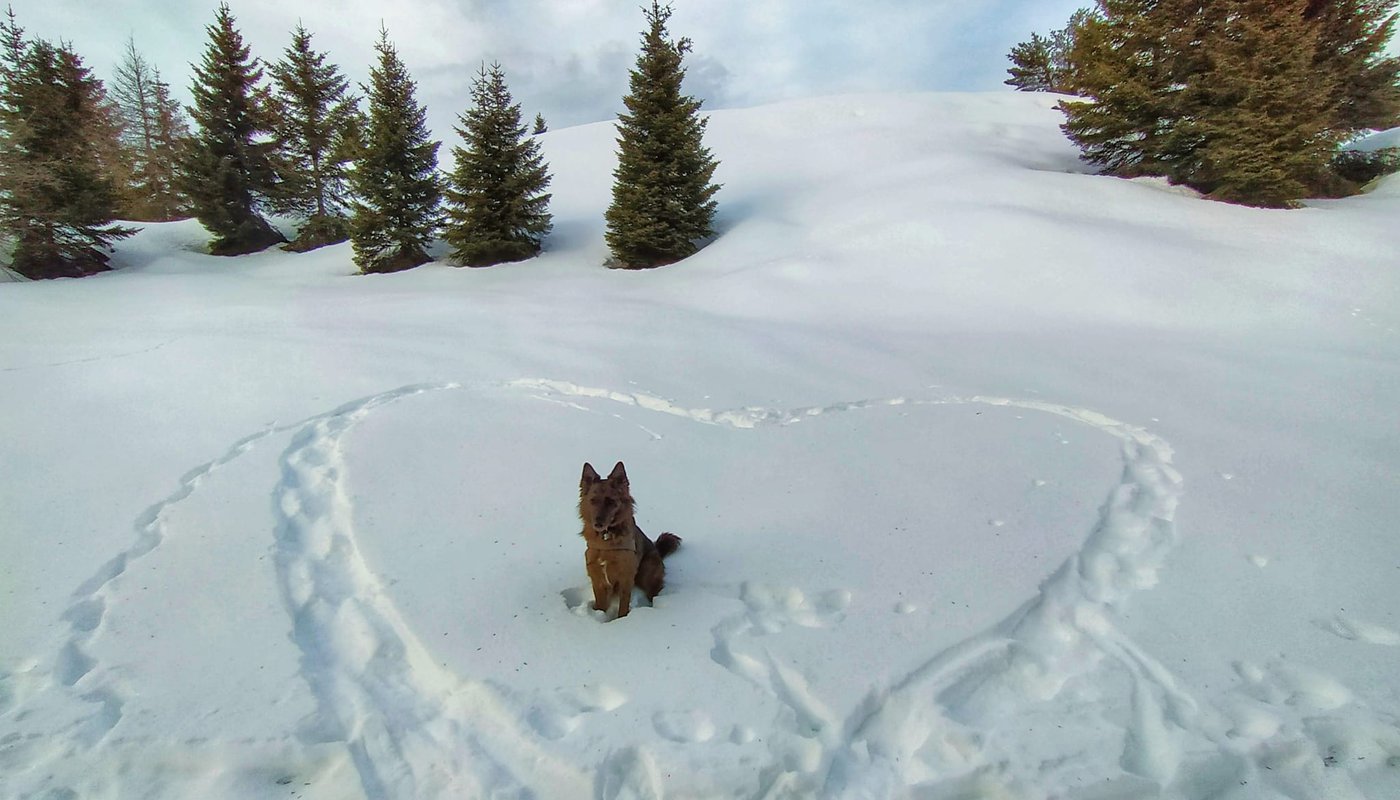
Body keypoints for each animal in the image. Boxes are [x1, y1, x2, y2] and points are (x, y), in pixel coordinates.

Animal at [576, 459, 680, 616]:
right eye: (593, 500)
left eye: (611, 501)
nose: (598, 523)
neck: (606, 541)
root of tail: (657, 550)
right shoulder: (596, 576)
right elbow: (600, 603)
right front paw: (599, 614)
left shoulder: (625, 576)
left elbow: (623, 606)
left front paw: (623, 619)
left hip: (648, 567)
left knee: (653, 592)